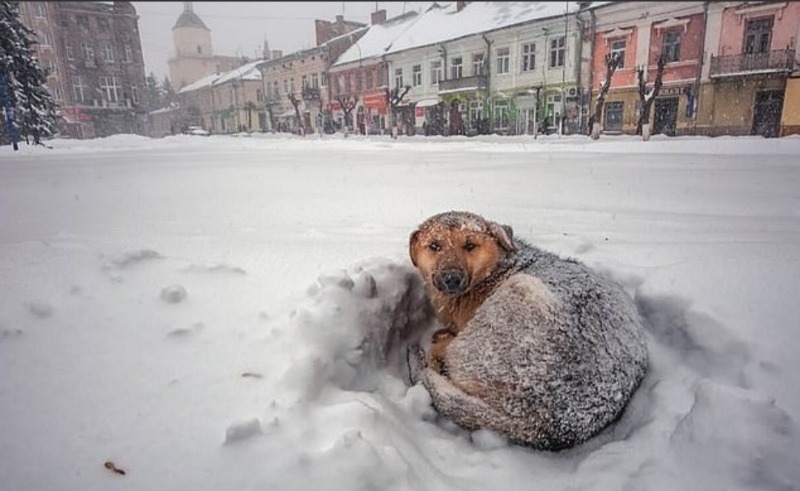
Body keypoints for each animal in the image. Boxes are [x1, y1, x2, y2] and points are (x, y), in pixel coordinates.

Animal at [410, 210, 648, 450]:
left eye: (470, 245)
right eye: (435, 246)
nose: (451, 279)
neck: (495, 271)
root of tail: (544, 424)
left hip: (516, 298)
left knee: (445, 358)